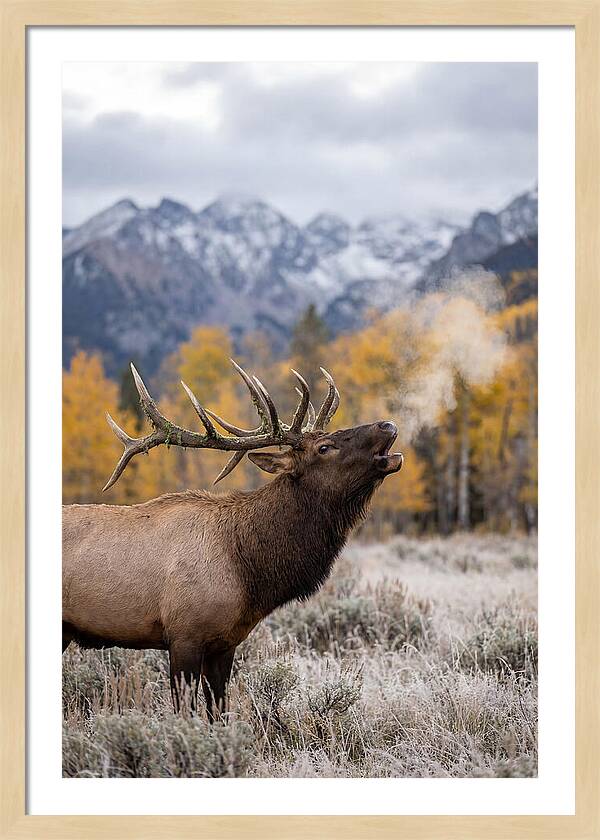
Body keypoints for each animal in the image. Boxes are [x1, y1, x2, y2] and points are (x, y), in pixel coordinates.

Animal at [62, 360, 403, 718]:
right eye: (324, 448)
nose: (387, 424)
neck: (248, 571)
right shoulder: (184, 635)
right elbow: (185, 713)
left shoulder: (225, 643)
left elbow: (219, 711)